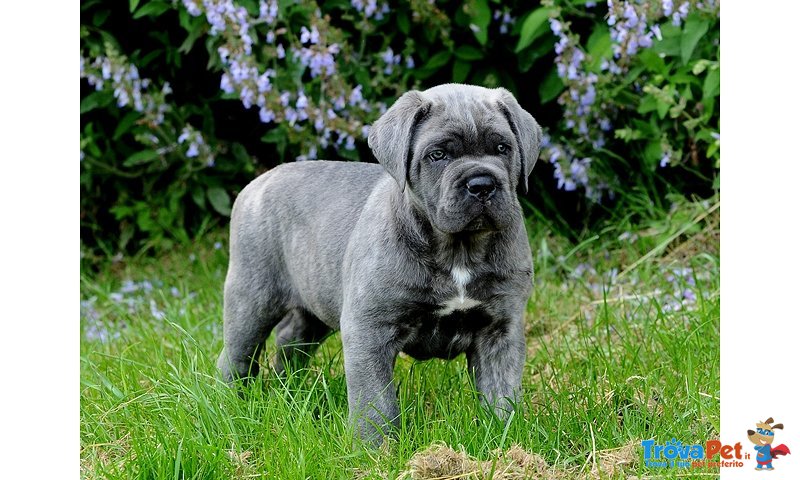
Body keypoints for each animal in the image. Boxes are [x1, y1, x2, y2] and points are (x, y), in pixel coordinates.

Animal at [219, 81, 544, 442]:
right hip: (252, 297)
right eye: (438, 155)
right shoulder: (369, 329)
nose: (482, 184)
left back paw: (290, 390)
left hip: (313, 302)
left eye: (502, 148)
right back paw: (232, 404)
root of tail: (259, 182)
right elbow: (375, 400)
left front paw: (503, 436)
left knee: (292, 338)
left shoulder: (499, 329)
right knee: (237, 354)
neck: (459, 247)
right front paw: (376, 446)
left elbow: (500, 392)